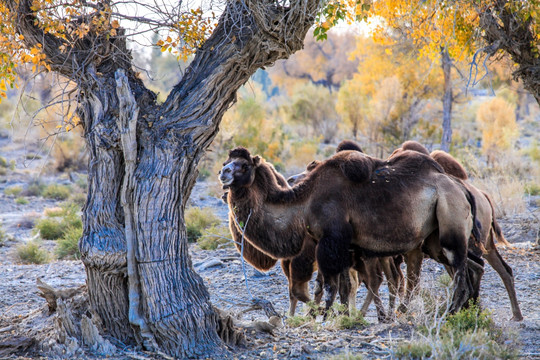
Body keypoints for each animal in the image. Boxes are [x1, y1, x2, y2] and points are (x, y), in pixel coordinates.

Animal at [217, 145, 478, 314]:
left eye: (243, 165)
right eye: (225, 162)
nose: (223, 173)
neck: (304, 203)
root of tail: (463, 189)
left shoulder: (331, 240)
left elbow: (330, 286)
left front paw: (324, 316)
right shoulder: (346, 245)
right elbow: (343, 287)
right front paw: (344, 316)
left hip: (450, 216)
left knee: (459, 270)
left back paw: (451, 312)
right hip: (430, 238)